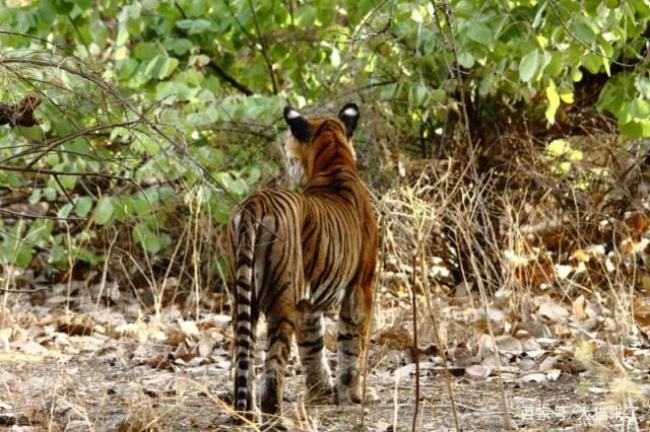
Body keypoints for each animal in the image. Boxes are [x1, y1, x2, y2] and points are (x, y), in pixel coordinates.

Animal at [228, 103, 378, 420]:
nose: (287, 162)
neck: (334, 160)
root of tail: (255, 203)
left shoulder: (307, 302)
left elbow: (313, 346)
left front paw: (322, 392)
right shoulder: (362, 286)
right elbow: (352, 344)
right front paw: (354, 394)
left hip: (243, 297)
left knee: (242, 359)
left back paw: (246, 416)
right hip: (281, 301)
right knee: (273, 369)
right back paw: (275, 418)